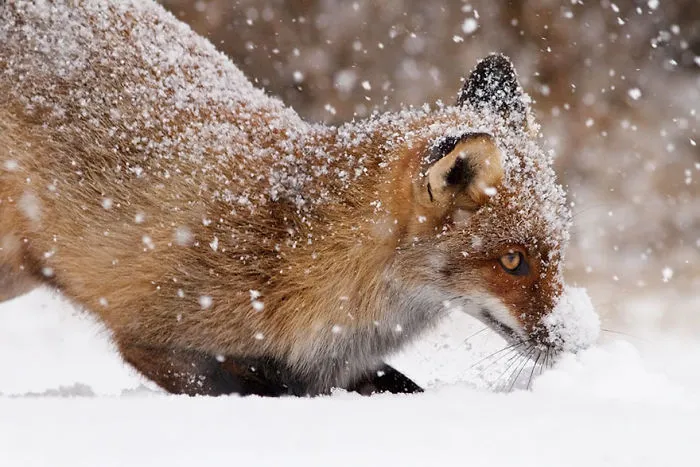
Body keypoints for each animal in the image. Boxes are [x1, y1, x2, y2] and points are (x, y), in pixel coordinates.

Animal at [0, 0, 598, 397]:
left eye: (557, 253)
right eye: (513, 261)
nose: (578, 338)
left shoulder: (338, 368)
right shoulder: (157, 339)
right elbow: (251, 388)